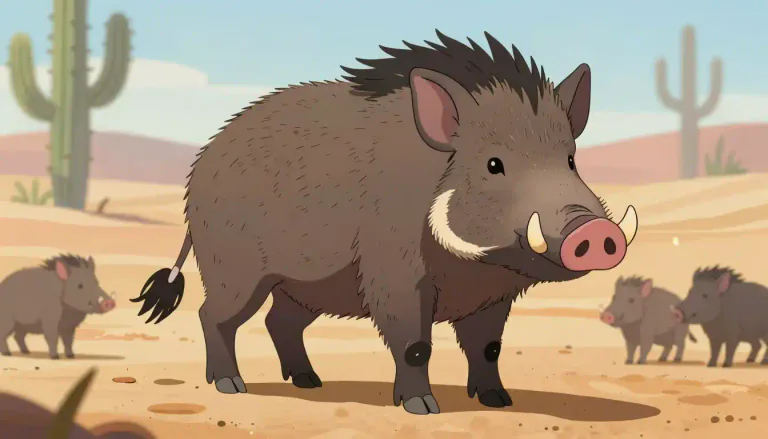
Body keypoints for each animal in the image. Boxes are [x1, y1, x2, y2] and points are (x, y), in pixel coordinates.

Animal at [131, 31, 639, 415]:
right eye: (494, 164)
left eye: (570, 159)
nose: (595, 232)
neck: (476, 267)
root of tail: (195, 176)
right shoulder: (394, 275)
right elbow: (415, 344)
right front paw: (423, 409)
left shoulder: (493, 295)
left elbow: (488, 347)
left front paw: (499, 401)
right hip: (235, 271)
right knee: (212, 316)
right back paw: (231, 385)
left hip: (303, 286)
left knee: (280, 322)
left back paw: (309, 382)